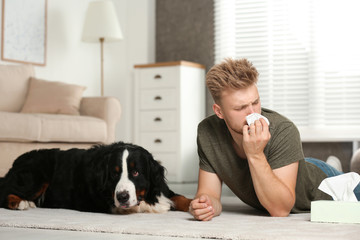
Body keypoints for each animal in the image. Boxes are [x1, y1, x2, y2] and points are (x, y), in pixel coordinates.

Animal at [0, 141, 191, 214]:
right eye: (114, 173)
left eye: (136, 172)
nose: (122, 197)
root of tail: (16, 162)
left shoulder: (161, 189)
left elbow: (179, 197)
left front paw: (194, 204)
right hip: (35, 176)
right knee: (5, 192)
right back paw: (21, 203)